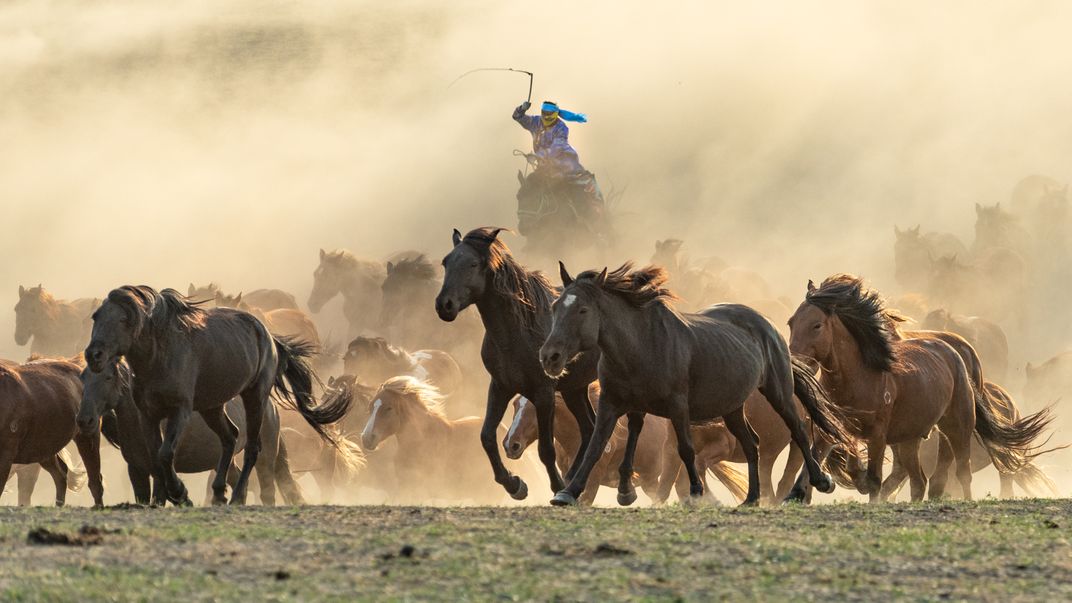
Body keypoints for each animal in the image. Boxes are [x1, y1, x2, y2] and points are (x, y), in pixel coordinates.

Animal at [81, 360, 306, 505]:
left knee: (267, 491)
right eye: (83, 377)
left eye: (108, 377)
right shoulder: (137, 471)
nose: (85, 419)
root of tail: (271, 405)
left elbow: (160, 499)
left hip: (265, 457)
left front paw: (183, 497)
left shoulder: (159, 474)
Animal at [435, 227, 598, 500]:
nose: (444, 305)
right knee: (589, 428)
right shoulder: (500, 387)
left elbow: (546, 449)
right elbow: (486, 436)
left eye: (473, 264)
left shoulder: (544, 393)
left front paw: (555, 487)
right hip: (574, 389)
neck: (517, 332)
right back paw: (573, 482)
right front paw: (514, 485)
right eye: (446, 262)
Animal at [539, 263, 853, 506]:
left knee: (798, 430)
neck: (641, 345)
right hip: (732, 406)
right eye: (555, 306)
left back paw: (818, 481)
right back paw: (751, 497)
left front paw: (696, 491)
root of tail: (766, 323)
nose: (549, 356)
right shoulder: (613, 403)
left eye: (582, 310)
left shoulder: (678, 406)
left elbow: (686, 449)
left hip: (778, 391)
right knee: (751, 442)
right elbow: (596, 444)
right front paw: (569, 492)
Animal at [789, 274, 1047, 502]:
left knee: (961, 471)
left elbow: (873, 479)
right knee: (919, 480)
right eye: (791, 322)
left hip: (958, 426)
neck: (857, 377)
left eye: (816, 325)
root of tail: (956, 351)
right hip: (910, 440)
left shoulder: (878, 434)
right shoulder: (831, 428)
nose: (794, 362)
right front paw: (807, 489)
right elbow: (827, 457)